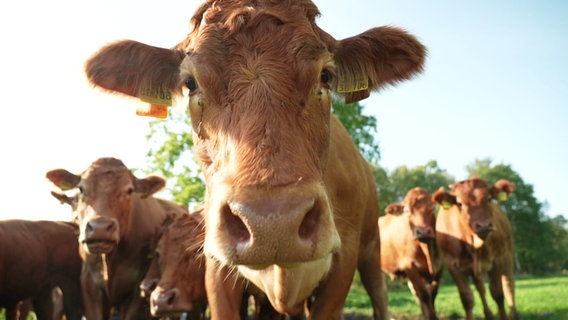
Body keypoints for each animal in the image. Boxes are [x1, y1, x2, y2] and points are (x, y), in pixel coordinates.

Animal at [82, 1, 424, 318]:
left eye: (326, 76)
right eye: (190, 83)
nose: (273, 223)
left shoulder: (345, 260)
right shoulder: (216, 268)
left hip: (371, 250)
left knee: (379, 295)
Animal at [380, 188, 446, 320]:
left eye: (432, 207)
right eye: (407, 211)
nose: (423, 232)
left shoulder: (440, 266)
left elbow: (432, 294)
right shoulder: (409, 266)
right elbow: (424, 294)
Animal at [434, 178, 520, 320]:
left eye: (489, 199)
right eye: (459, 203)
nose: (483, 225)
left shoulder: (497, 259)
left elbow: (498, 293)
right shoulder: (453, 265)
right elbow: (467, 299)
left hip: (507, 254)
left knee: (508, 285)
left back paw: (513, 315)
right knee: (481, 288)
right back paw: (488, 315)